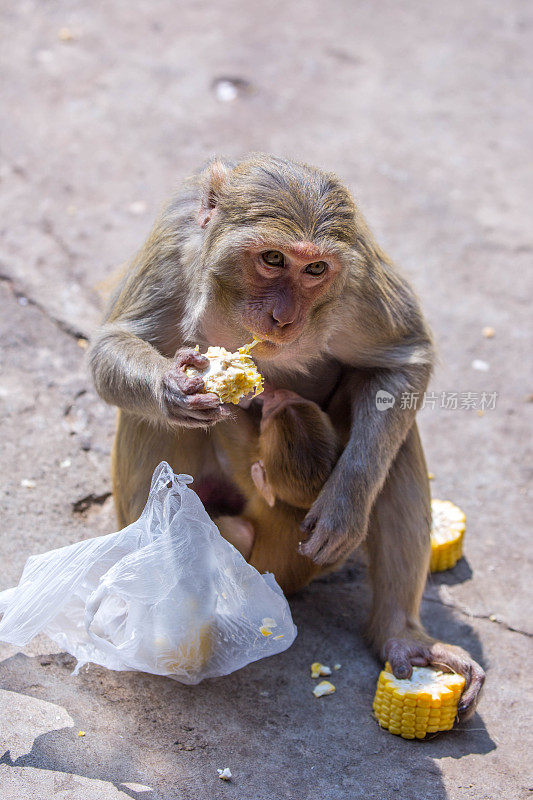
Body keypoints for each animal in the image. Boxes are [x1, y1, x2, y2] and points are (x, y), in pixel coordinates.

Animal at [89, 153, 484, 716]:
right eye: (272, 259)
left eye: (315, 269)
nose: (283, 317)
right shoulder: (173, 240)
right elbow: (113, 346)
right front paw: (174, 389)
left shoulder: (358, 284)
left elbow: (403, 361)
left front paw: (343, 506)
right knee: (145, 418)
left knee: (395, 435)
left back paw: (402, 636)